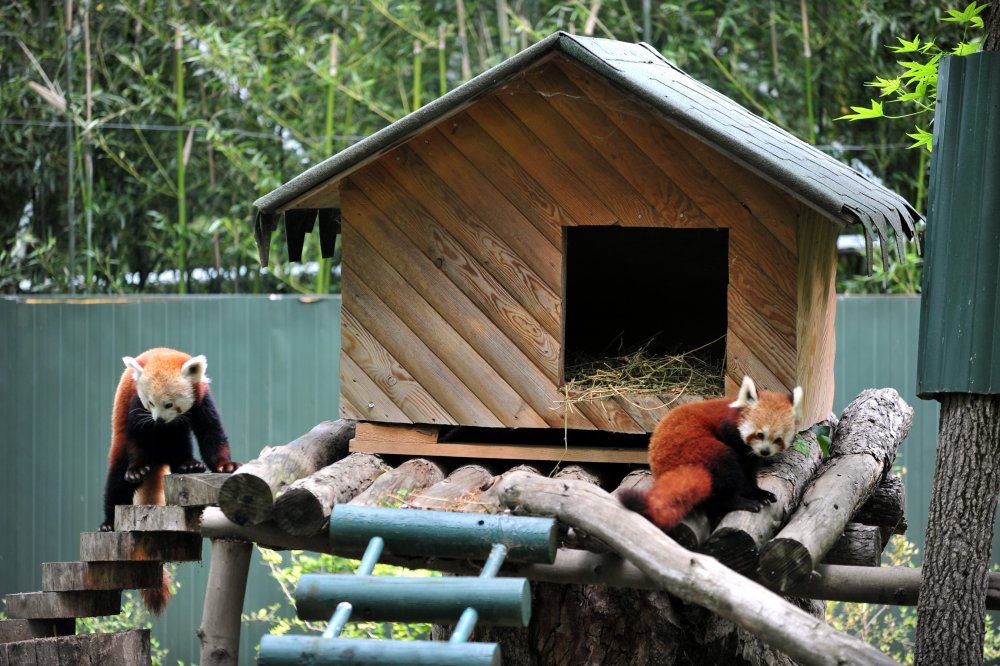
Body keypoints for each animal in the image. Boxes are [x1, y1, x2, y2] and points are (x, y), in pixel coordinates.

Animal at [101, 348, 240, 612]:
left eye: (169, 403)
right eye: (150, 402)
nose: (158, 420)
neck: (164, 355)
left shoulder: (201, 400)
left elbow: (212, 432)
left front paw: (224, 464)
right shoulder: (135, 405)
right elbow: (136, 438)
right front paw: (136, 470)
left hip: (175, 436)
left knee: (180, 441)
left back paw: (187, 464)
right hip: (119, 445)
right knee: (116, 481)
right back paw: (107, 522)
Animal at [616, 376, 804, 532]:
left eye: (778, 439)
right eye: (759, 434)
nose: (765, 451)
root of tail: (669, 468)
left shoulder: (752, 456)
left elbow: (750, 473)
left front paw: (761, 493)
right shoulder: (731, 435)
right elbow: (742, 475)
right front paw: (752, 494)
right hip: (700, 448)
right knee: (725, 472)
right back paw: (740, 502)